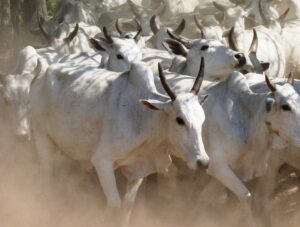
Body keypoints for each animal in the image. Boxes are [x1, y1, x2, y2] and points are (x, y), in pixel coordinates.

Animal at [29, 59, 209, 226]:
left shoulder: (137, 171)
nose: (203, 162)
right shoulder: (102, 161)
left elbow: (127, 206)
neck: (143, 118)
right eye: (180, 120)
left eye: (202, 119)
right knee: (47, 180)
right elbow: (114, 205)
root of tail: (44, 68)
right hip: (41, 138)